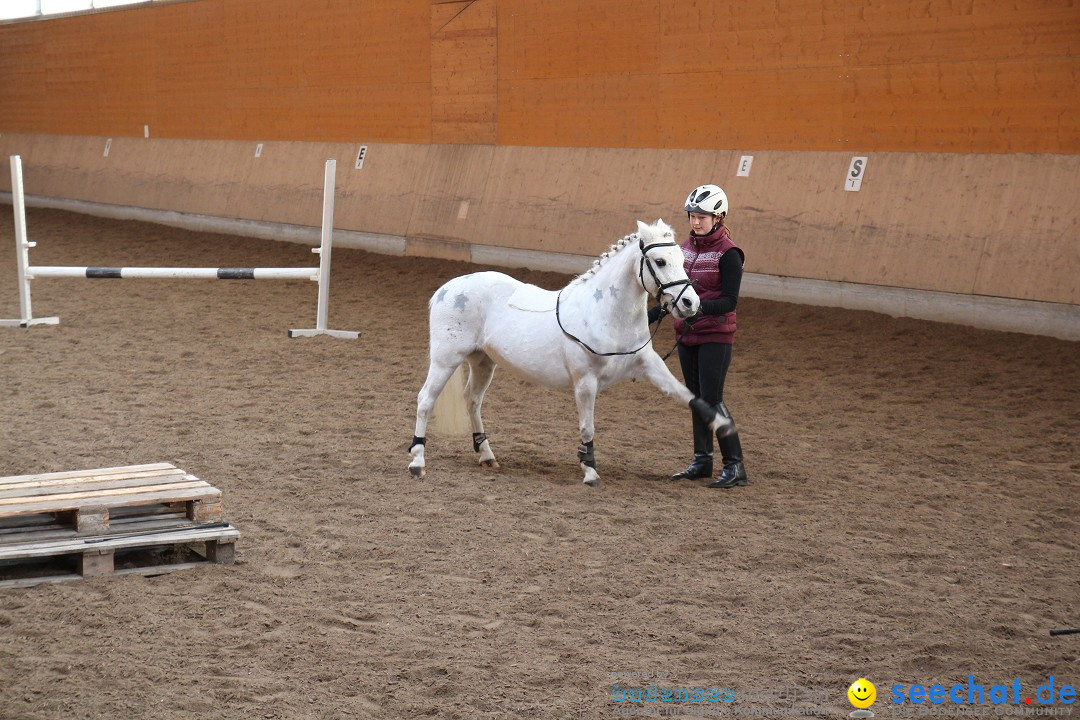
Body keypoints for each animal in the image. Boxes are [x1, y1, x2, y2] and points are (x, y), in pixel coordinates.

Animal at [406, 220, 734, 487]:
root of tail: (447, 288)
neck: (606, 315)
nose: (691, 304)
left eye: (682, 258)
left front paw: (724, 426)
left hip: (483, 361)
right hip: (446, 359)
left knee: (472, 400)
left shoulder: (649, 365)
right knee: (426, 400)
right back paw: (417, 462)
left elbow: (688, 395)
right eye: (661, 261)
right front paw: (589, 471)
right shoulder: (585, 381)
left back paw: (487, 456)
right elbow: (588, 427)